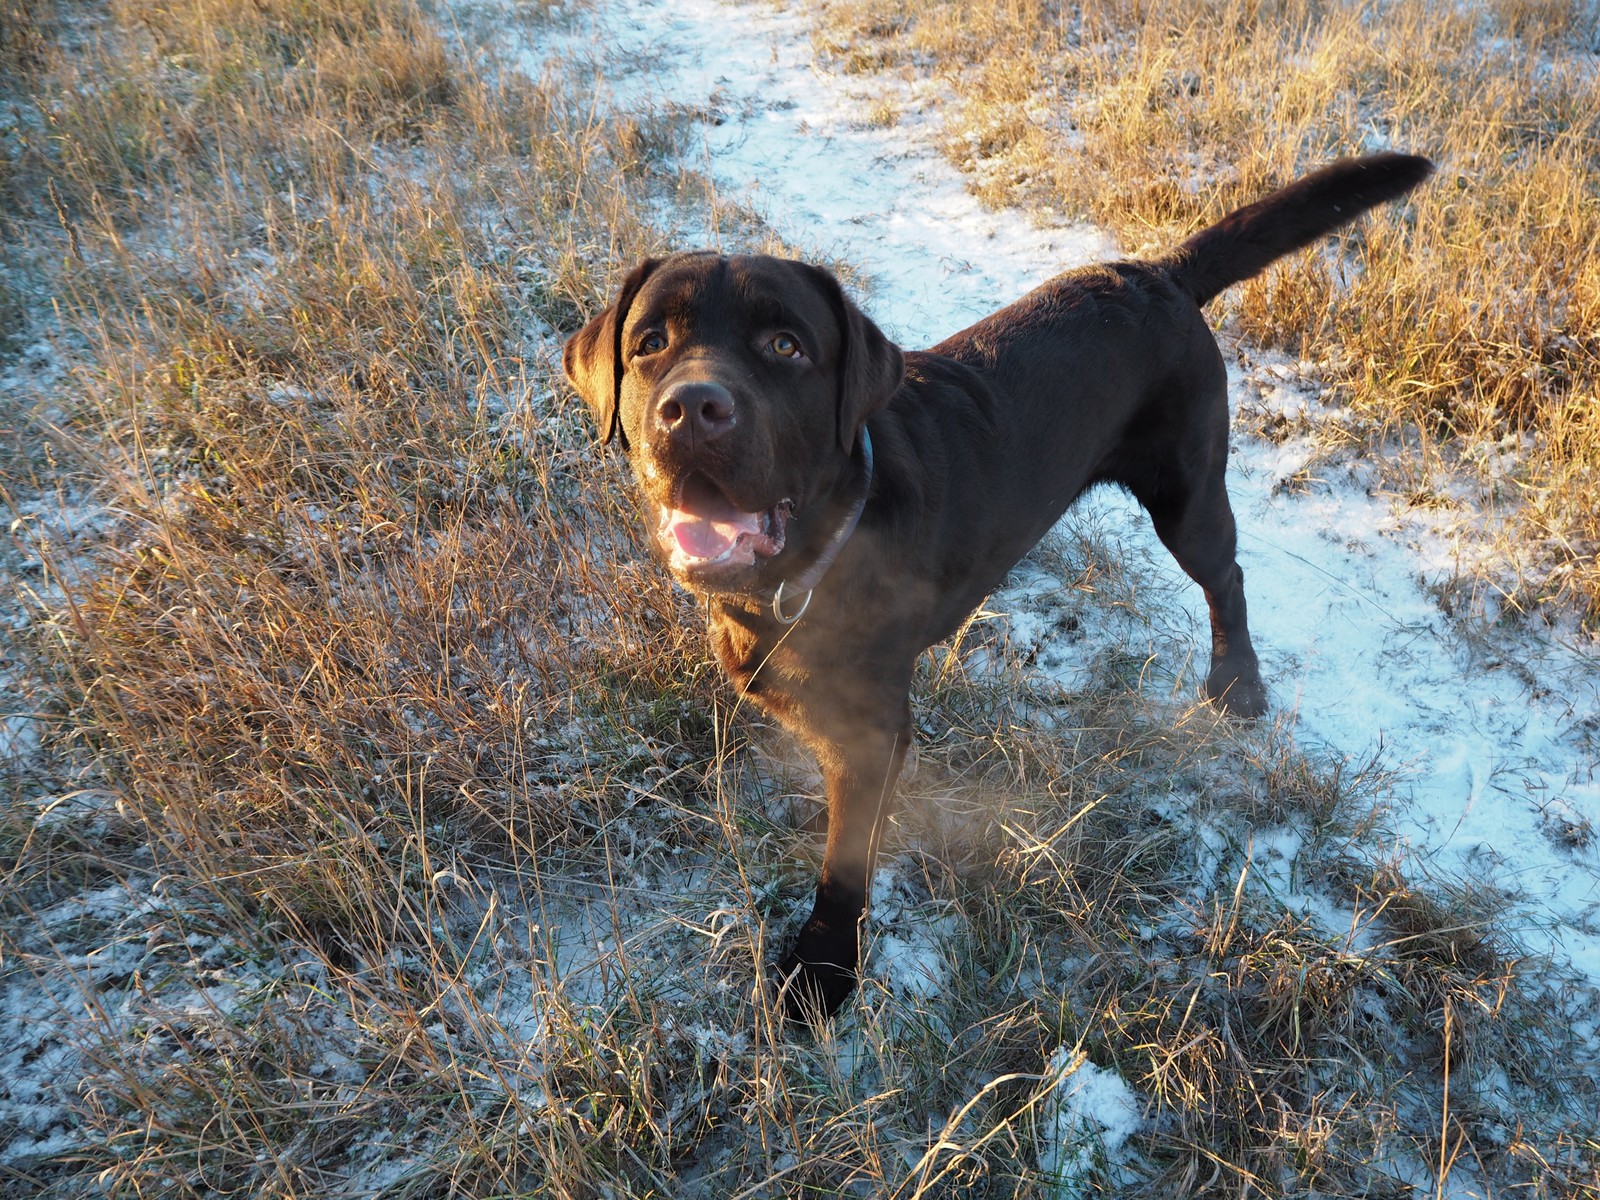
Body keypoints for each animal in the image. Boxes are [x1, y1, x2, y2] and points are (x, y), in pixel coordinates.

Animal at [566, 148, 1440, 1017]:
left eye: (786, 347)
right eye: (648, 344)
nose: (692, 409)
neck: (823, 545)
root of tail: (1158, 272)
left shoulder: (872, 735)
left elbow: (844, 862)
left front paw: (823, 970)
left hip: (1187, 495)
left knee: (1227, 575)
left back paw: (1237, 682)